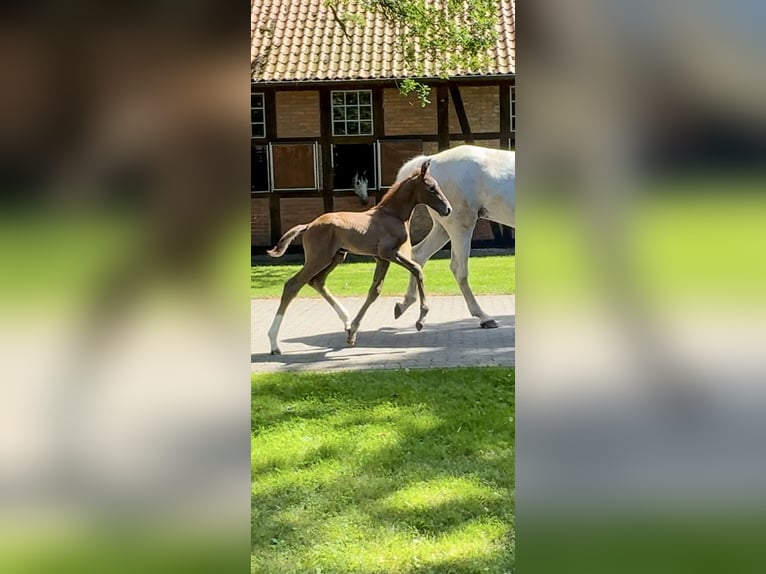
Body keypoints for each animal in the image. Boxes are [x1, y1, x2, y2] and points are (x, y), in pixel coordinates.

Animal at [268, 160, 452, 354]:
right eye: (431, 187)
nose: (448, 209)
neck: (392, 214)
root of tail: (309, 225)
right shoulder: (388, 253)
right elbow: (417, 269)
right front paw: (421, 319)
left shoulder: (381, 259)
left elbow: (374, 291)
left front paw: (353, 333)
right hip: (319, 258)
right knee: (292, 285)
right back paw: (274, 344)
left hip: (336, 257)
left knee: (317, 281)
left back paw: (346, 321)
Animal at [396, 146, 516, 328]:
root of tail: (432, 159)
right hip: (460, 228)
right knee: (459, 270)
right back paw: (484, 317)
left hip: (442, 229)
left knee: (419, 255)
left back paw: (406, 304)